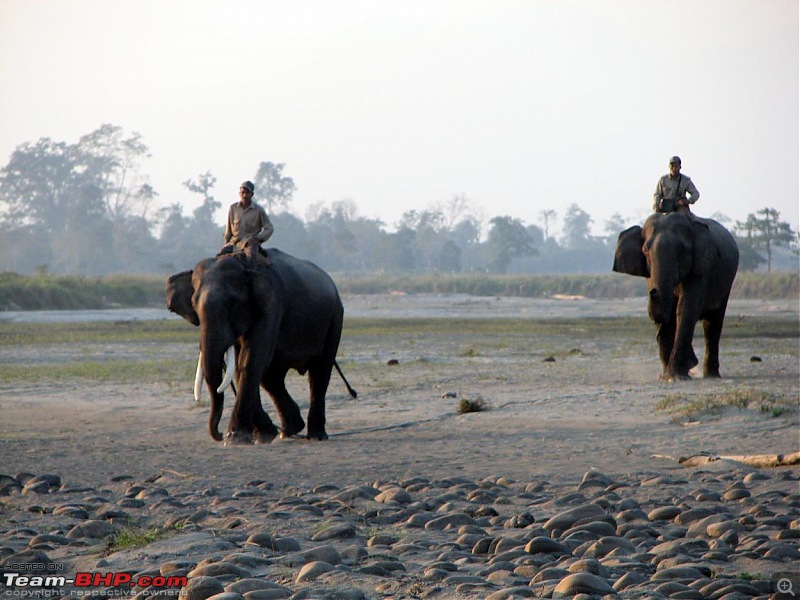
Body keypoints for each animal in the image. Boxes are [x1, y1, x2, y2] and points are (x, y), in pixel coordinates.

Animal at [166, 245, 354, 446]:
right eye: (194, 304)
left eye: (231, 304)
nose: (219, 434)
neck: (244, 264)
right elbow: (242, 365)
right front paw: (263, 436)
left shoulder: (271, 304)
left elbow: (250, 359)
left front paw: (235, 439)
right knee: (272, 377)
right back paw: (289, 430)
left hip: (335, 317)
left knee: (320, 371)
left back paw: (315, 435)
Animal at [616, 211, 740, 380]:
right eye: (645, 250)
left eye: (683, 251)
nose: (652, 291)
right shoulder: (650, 273)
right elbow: (668, 315)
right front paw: (666, 377)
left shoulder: (701, 267)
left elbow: (686, 307)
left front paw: (676, 376)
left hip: (727, 281)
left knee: (713, 322)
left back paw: (711, 375)